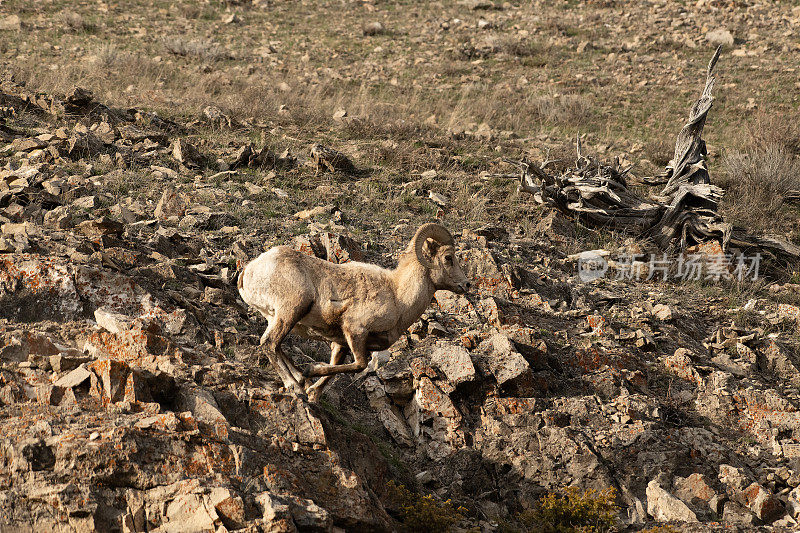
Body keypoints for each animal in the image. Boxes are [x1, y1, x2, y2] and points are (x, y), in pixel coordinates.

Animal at [241, 222, 472, 402]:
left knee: (275, 345)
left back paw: (299, 378)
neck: (398, 297)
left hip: (276, 317)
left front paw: (313, 391)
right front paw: (311, 372)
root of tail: (248, 271)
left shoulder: (341, 343)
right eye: (448, 258)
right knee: (270, 343)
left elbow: (336, 369)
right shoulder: (355, 330)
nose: (466, 284)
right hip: (291, 310)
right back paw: (295, 386)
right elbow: (360, 365)